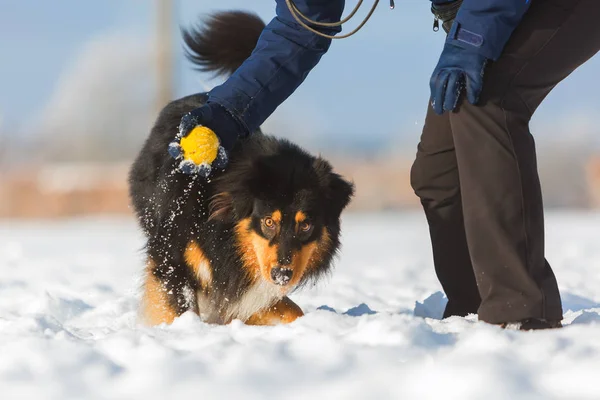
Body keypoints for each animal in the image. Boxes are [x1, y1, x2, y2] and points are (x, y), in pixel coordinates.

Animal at [126, 10, 352, 326]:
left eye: (306, 224)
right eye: (268, 221)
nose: (282, 275)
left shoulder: (249, 284)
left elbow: (289, 309)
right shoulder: (171, 254)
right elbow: (177, 305)